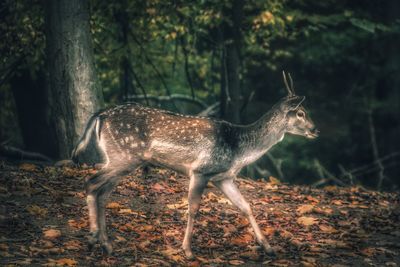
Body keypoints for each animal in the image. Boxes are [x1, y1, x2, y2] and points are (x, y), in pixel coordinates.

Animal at [72, 71, 318, 260]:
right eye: (301, 112)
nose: (315, 130)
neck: (240, 149)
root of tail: (100, 115)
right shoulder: (201, 170)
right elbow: (193, 208)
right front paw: (188, 251)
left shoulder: (223, 177)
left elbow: (246, 206)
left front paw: (268, 248)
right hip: (124, 156)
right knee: (91, 182)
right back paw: (93, 239)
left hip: (118, 159)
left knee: (103, 193)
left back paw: (106, 244)